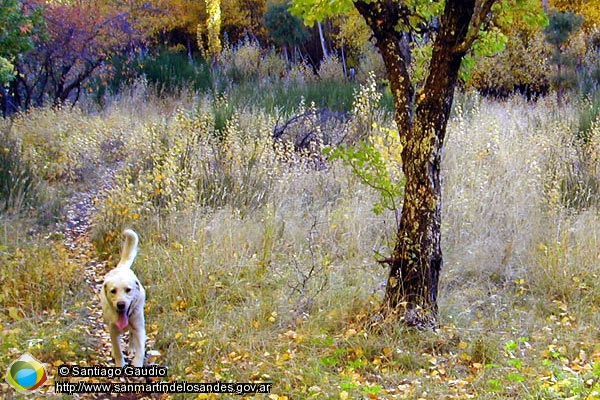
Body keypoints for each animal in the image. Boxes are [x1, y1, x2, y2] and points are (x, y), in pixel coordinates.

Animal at [99, 230, 145, 368]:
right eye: (113, 291)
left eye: (128, 290)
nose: (121, 304)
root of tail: (121, 268)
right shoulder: (113, 331)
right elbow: (118, 350)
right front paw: (119, 363)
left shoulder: (139, 328)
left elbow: (141, 349)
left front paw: (137, 362)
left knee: (131, 335)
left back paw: (131, 348)